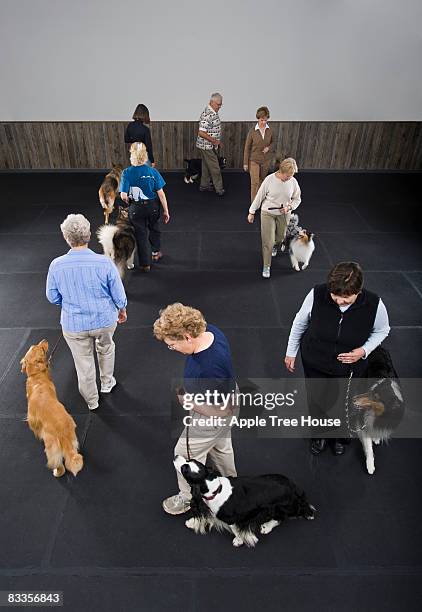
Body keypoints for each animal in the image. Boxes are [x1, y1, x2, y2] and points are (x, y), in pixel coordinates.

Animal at [20, 340, 84, 478]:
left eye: (41, 348)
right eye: (37, 347)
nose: (44, 340)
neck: (36, 376)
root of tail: (62, 431)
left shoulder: (32, 417)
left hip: (51, 448)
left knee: (59, 464)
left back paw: (56, 472)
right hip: (73, 439)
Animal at [173, 454, 314, 548]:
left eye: (184, 469)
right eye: (189, 460)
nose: (175, 456)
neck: (215, 489)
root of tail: (293, 486)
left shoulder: (231, 518)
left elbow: (235, 529)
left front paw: (239, 540)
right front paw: (192, 522)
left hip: (278, 507)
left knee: (281, 517)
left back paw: (267, 527)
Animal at [350, 346, 406, 476]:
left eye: (375, 397)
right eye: (371, 391)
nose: (353, 399)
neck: (378, 414)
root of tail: (380, 347)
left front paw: (376, 437)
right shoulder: (362, 421)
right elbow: (368, 446)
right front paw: (370, 466)